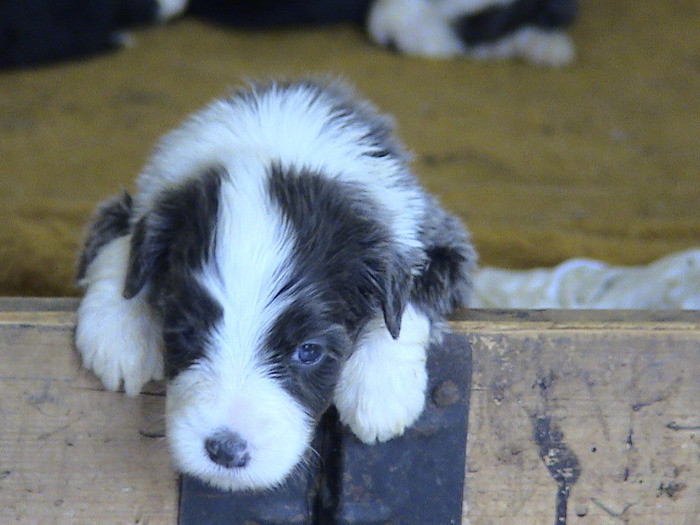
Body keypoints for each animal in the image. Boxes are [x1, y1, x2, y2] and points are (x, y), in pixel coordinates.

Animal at [75, 79, 476, 492]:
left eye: (309, 351)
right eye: (186, 332)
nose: (226, 451)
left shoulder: (443, 241)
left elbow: (409, 292)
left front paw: (378, 388)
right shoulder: (136, 203)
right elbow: (121, 243)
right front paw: (118, 333)